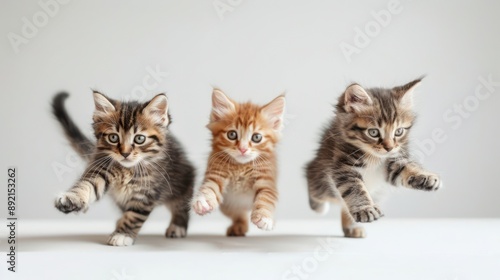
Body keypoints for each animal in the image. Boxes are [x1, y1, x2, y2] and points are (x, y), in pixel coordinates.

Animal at [51, 91, 194, 245]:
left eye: (139, 139)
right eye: (113, 137)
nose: (125, 153)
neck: (128, 169)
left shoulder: (147, 191)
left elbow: (134, 215)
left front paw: (123, 234)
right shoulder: (101, 167)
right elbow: (87, 185)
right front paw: (71, 198)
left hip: (183, 182)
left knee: (181, 205)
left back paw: (177, 226)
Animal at [191, 89, 286, 236]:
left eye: (256, 137)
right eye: (232, 135)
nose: (243, 149)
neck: (241, 167)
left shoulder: (267, 181)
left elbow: (266, 198)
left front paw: (264, 217)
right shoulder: (216, 172)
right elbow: (209, 187)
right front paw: (203, 201)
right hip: (228, 206)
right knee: (240, 215)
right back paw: (239, 227)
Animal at [304, 78, 442, 238]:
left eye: (398, 131)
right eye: (374, 132)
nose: (389, 147)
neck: (374, 157)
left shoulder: (393, 161)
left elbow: (406, 168)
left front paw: (425, 177)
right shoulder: (342, 166)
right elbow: (355, 188)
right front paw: (365, 208)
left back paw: (351, 227)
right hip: (321, 181)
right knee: (312, 181)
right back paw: (319, 207)